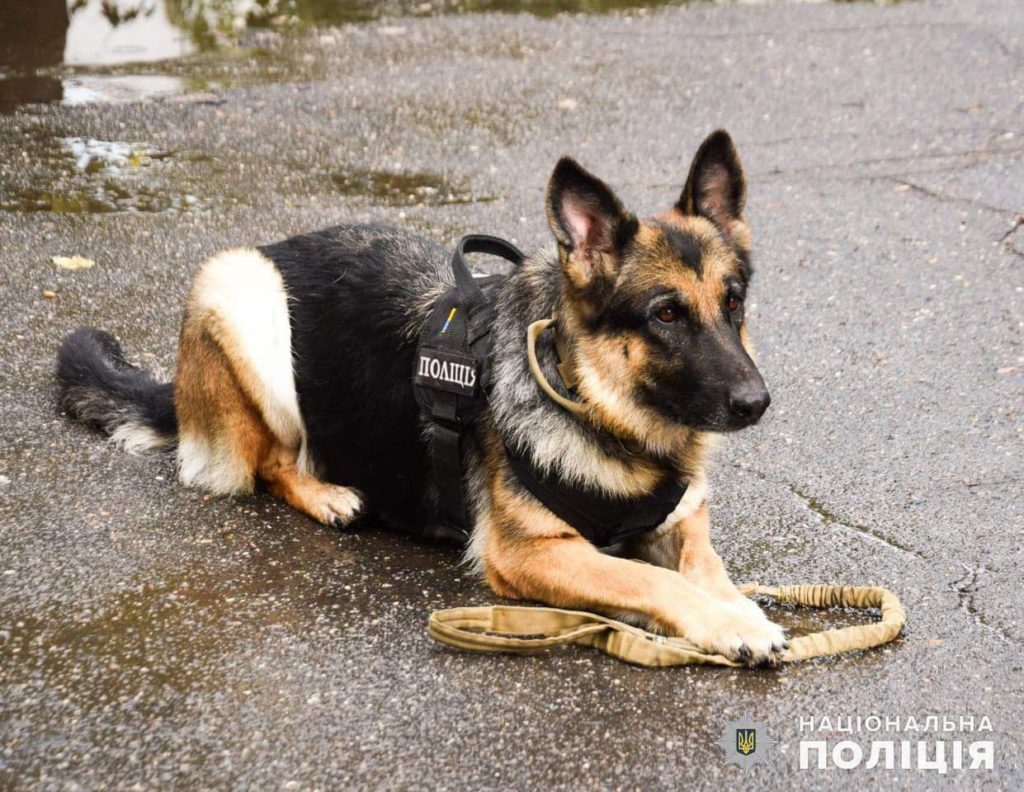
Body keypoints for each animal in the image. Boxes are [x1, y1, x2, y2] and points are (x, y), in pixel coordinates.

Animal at [59, 133, 786, 663]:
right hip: (237, 284)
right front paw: (727, 623)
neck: (595, 401)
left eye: (734, 302)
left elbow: (704, 564)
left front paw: (736, 607)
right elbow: (652, 578)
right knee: (268, 462)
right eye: (665, 314)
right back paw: (328, 494)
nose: (756, 402)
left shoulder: (679, 521)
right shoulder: (529, 554)